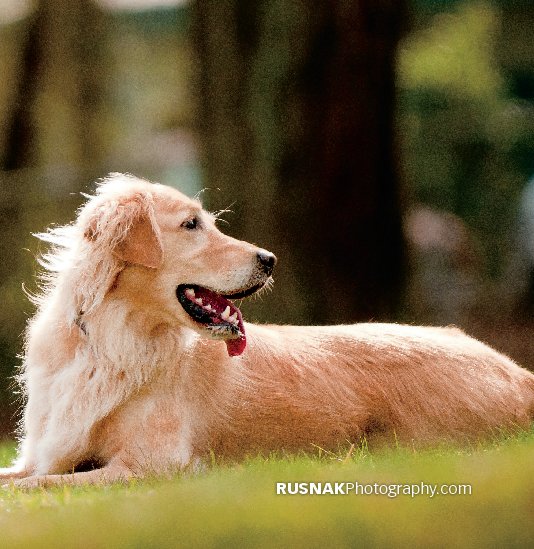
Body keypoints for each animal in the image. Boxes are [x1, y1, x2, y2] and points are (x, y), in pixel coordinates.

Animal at [0, 173, 532, 486]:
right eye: (191, 224)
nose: (270, 259)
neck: (110, 342)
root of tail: (520, 373)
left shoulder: (152, 464)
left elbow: (33, 485)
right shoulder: (43, 452)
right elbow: (21, 475)